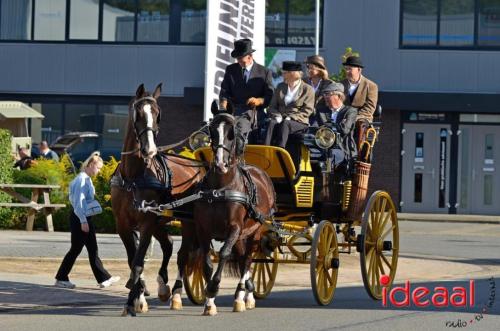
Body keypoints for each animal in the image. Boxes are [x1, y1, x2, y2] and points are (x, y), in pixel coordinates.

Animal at [111, 83, 205, 316]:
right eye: (138, 114)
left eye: (157, 115)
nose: (150, 150)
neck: (133, 177)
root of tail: (198, 167)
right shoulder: (123, 224)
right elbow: (133, 260)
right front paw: (139, 296)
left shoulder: (146, 223)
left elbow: (138, 262)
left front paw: (132, 301)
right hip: (160, 221)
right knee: (169, 244)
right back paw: (163, 286)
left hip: (187, 222)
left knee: (183, 254)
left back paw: (177, 294)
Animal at [175, 113, 278, 316]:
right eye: (213, 133)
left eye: (232, 134)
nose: (220, 164)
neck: (220, 189)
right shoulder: (203, 229)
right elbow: (207, 260)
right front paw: (209, 300)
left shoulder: (234, 228)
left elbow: (223, 253)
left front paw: (214, 287)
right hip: (240, 235)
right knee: (241, 257)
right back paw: (245, 291)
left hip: (255, 230)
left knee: (248, 258)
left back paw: (242, 296)